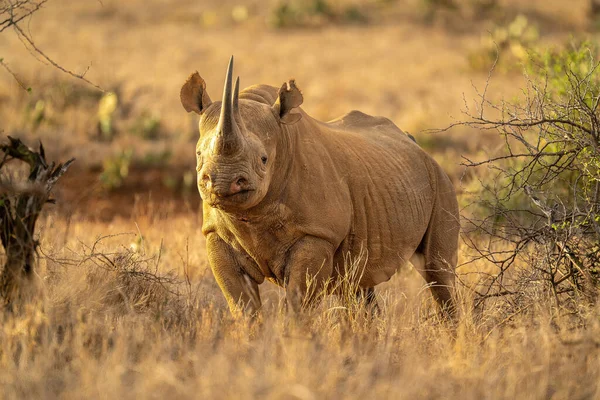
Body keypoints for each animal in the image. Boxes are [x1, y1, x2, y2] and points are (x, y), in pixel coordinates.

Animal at [178, 57, 460, 316]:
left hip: (440, 180)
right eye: (198, 154)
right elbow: (242, 304)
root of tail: (415, 144)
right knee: (357, 284)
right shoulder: (215, 234)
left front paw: (294, 338)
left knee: (438, 272)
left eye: (264, 159)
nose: (224, 182)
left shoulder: (317, 234)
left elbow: (298, 302)